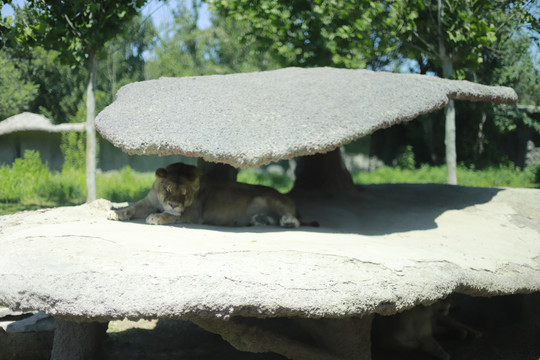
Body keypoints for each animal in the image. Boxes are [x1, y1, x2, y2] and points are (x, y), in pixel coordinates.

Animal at [106, 162, 316, 228]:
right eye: (168, 189)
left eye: (185, 193)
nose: (173, 204)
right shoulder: (148, 202)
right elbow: (132, 207)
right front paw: (116, 213)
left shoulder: (193, 214)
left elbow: (171, 216)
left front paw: (157, 217)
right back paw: (260, 220)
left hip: (269, 198)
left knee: (294, 219)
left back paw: (287, 222)